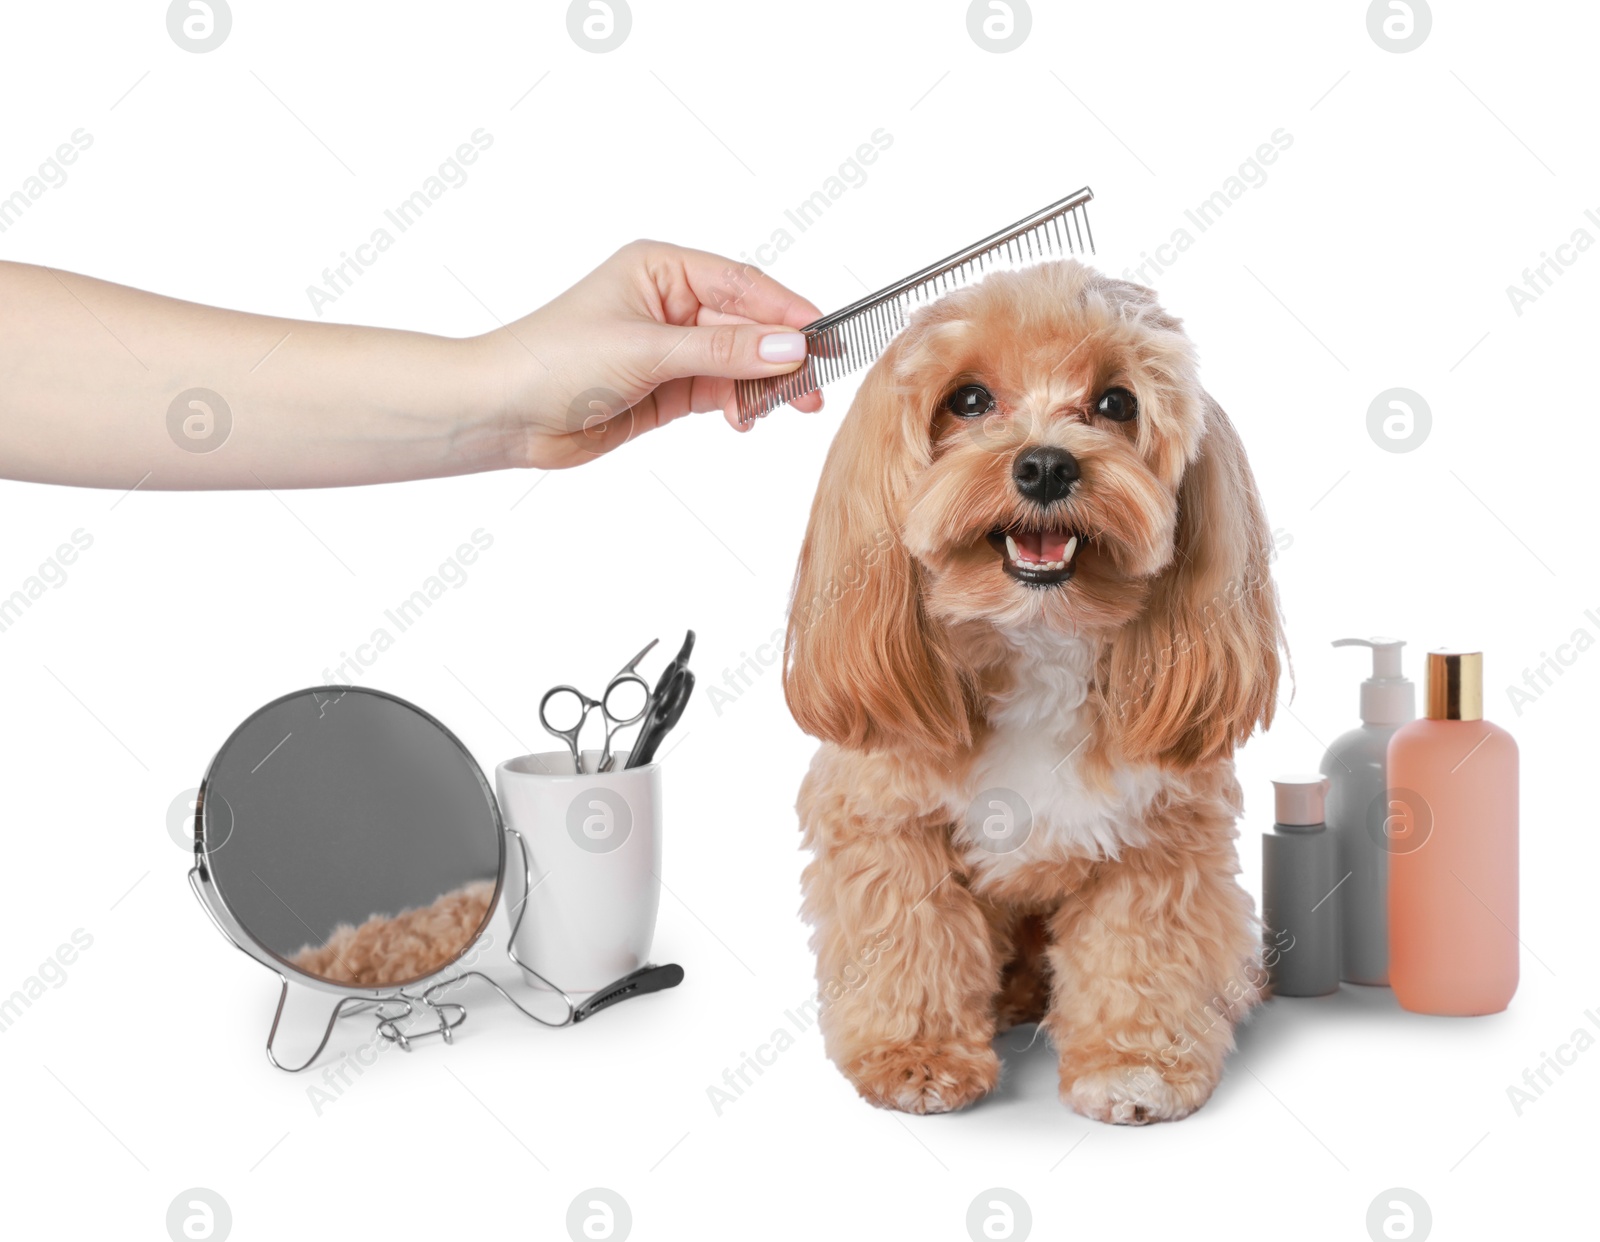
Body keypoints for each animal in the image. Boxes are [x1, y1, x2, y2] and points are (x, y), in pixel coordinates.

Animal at [780, 262, 1280, 1126]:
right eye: (970, 399)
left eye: (1116, 403)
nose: (1046, 466)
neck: (1037, 641)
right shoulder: (887, 825)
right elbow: (913, 943)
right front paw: (916, 1057)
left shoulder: (1161, 838)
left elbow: (1140, 955)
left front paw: (1134, 1066)